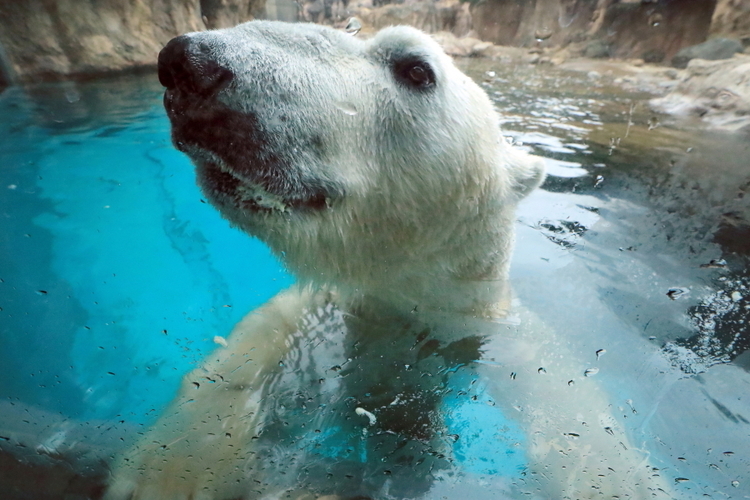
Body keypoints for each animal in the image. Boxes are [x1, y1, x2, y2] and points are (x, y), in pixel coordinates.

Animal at [104, 21, 668, 500]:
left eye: (416, 69)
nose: (190, 62)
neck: (408, 302)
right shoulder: (338, 303)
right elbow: (254, 342)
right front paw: (171, 468)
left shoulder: (496, 333)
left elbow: (581, 425)